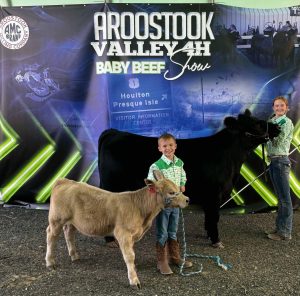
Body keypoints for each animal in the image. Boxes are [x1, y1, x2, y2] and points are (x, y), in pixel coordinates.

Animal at [44, 170, 189, 288]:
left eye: (177, 187)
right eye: (171, 192)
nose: (187, 199)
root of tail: (65, 180)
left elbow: (131, 253)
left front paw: (133, 269)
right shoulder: (123, 233)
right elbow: (130, 256)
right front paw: (134, 280)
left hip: (72, 222)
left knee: (69, 233)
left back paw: (74, 256)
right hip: (56, 219)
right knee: (51, 235)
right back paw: (50, 262)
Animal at [97, 110, 280, 246]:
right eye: (256, 124)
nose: (277, 127)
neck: (231, 159)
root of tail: (114, 132)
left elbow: (209, 217)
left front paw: (209, 235)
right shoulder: (214, 193)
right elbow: (214, 216)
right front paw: (216, 240)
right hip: (111, 185)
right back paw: (110, 239)